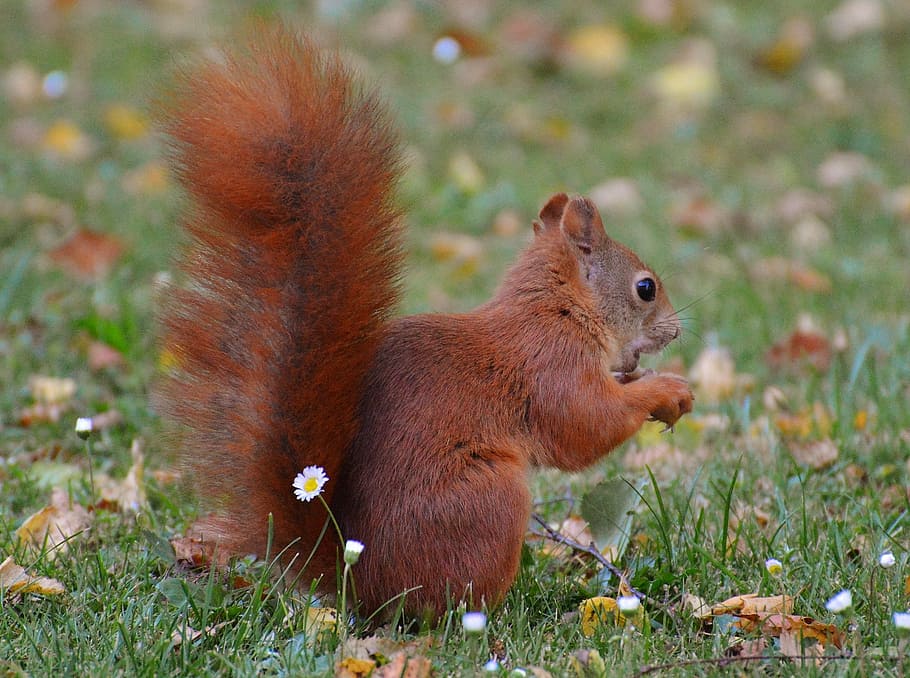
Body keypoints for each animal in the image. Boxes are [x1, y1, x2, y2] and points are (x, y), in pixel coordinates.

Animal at [155, 26, 694, 619]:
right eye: (645, 288)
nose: (675, 330)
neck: (557, 310)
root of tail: (357, 581)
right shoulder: (551, 365)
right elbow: (586, 425)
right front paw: (665, 390)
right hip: (488, 499)